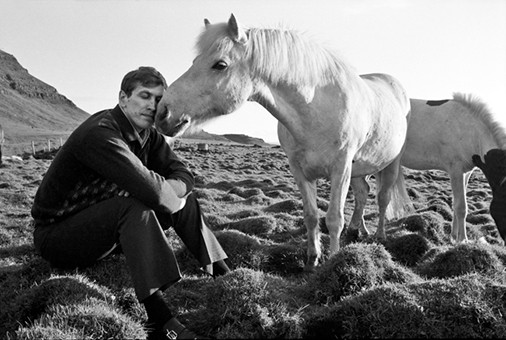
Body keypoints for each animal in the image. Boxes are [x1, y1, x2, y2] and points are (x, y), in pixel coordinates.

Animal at [156, 13, 414, 270]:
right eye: (194, 60)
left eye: (220, 65)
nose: (163, 112)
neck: (315, 109)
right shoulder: (300, 170)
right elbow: (311, 216)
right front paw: (312, 260)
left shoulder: (340, 169)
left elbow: (333, 218)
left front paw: (333, 260)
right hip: (359, 169)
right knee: (362, 194)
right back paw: (357, 231)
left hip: (389, 164)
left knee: (382, 198)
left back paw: (379, 235)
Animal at [350, 91, 506, 243]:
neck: (470, 131)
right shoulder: (455, 171)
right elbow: (461, 207)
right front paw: (462, 240)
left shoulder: (465, 173)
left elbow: (455, 204)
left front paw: (453, 237)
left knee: (362, 192)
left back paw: (363, 230)